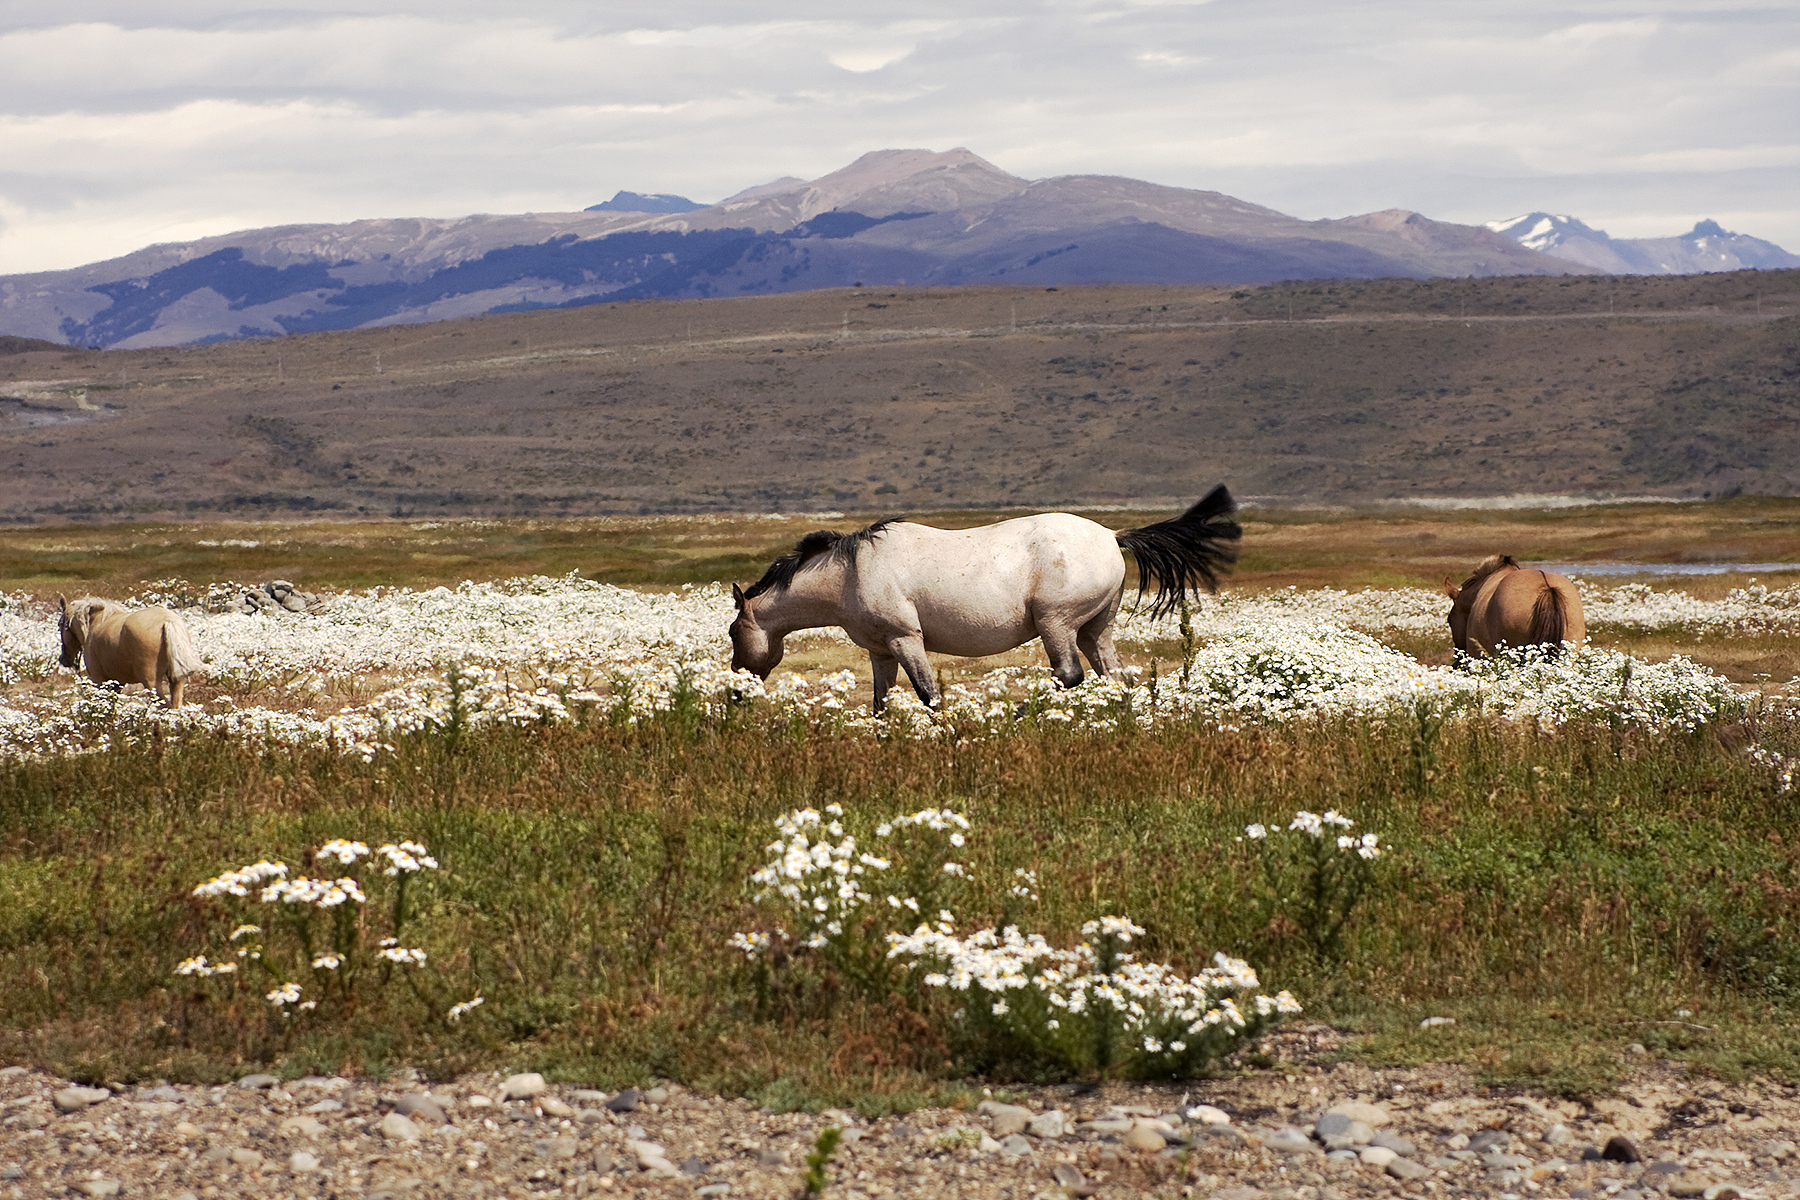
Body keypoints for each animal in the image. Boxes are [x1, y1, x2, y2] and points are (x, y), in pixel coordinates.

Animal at [56, 597, 202, 708]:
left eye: (60, 626)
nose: (63, 659)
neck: (94, 623)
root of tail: (167, 621)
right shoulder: (117, 682)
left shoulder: (98, 679)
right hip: (177, 682)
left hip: (151, 683)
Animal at [727, 489, 1238, 712]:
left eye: (734, 632)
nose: (736, 693)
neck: (851, 572)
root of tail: (1113, 535)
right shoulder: (880, 651)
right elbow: (880, 703)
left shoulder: (906, 640)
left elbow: (929, 695)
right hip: (1095, 631)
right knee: (1117, 679)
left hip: (1056, 626)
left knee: (1068, 675)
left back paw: (1016, 712)